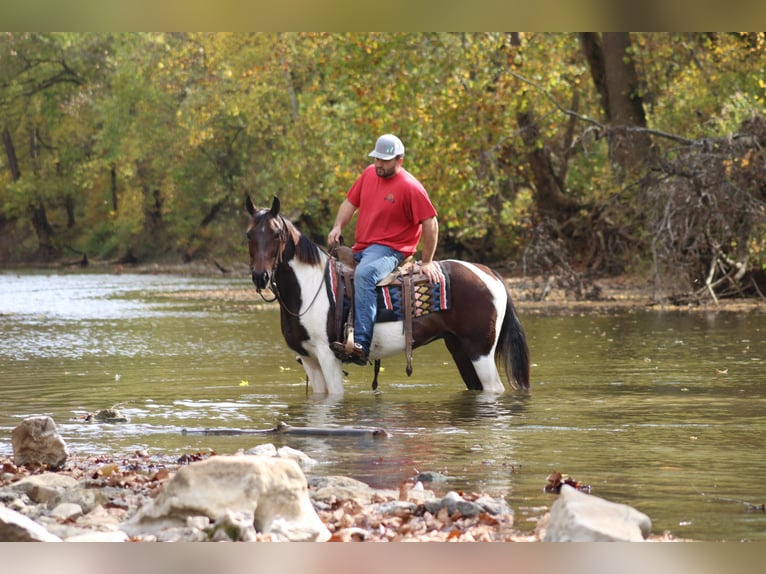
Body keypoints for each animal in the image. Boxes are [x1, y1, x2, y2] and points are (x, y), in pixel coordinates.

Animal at [243, 197, 532, 396]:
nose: (260, 277)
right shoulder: (308, 359)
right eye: (248, 234)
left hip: (480, 351)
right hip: (460, 348)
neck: (309, 287)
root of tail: (489, 273)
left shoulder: (327, 356)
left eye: (276, 234)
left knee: (494, 389)